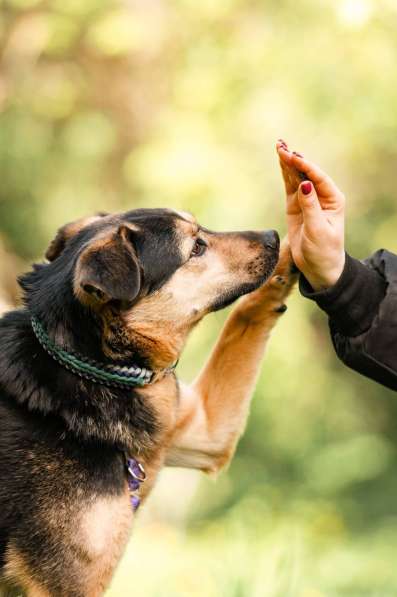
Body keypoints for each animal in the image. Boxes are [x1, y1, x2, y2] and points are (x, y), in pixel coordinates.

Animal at [0, 210, 294, 596]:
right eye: (196, 248)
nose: (273, 236)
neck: (91, 366)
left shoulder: (206, 433)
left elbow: (243, 318)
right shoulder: (63, 584)